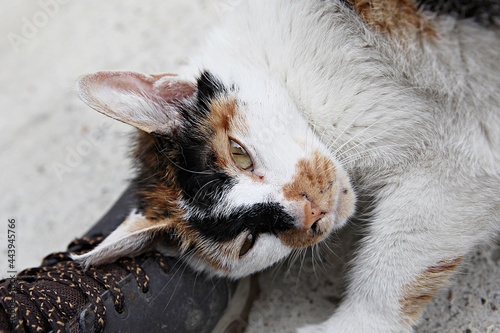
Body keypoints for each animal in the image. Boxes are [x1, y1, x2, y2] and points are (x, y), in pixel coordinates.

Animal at [72, 0, 498, 332]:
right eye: (247, 242)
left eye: (239, 154)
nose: (309, 211)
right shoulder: (464, 167)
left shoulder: (459, 168)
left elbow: (397, 259)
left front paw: (358, 323)